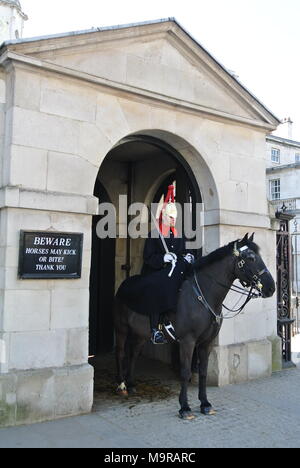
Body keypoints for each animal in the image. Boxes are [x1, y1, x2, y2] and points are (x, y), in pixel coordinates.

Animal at [113, 234, 276, 420]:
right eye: (250, 258)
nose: (271, 287)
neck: (203, 295)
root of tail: (124, 284)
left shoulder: (206, 343)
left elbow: (203, 372)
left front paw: (205, 404)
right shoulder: (187, 341)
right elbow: (185, 372)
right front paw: (184, 407)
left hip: (141, 334)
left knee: (133, 354)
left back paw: (131, 383)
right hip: (121, 329)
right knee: (120, 353)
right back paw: (121, 385)